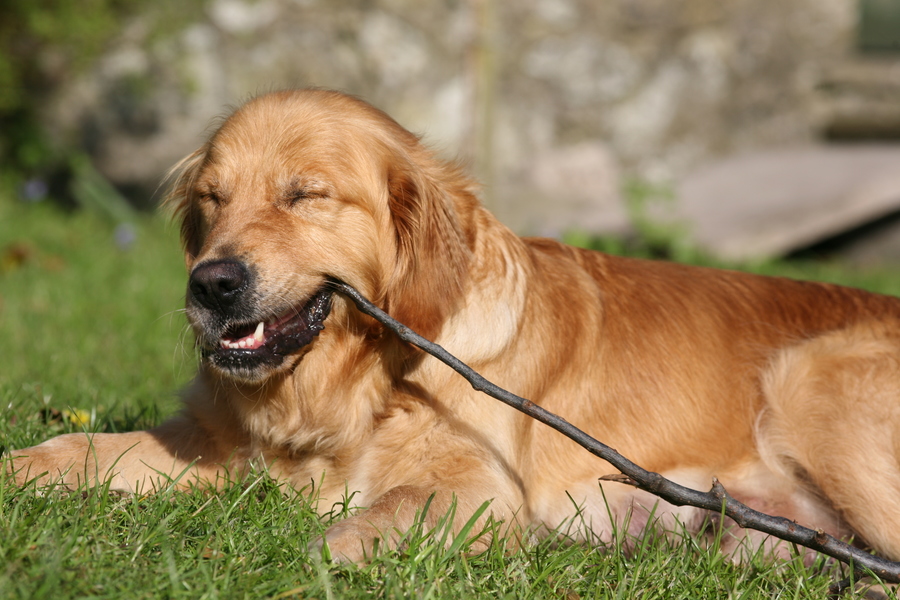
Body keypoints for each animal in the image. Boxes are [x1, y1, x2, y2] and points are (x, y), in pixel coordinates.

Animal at [8, 89, 900, 564]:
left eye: (306, 194)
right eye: (213, 200)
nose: (212, 284)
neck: (351, 388)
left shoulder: (481, 486)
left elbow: (378, 513)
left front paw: (318, 555)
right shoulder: (207, 440)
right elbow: (78, 448)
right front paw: (19, 466)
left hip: (814, 378)